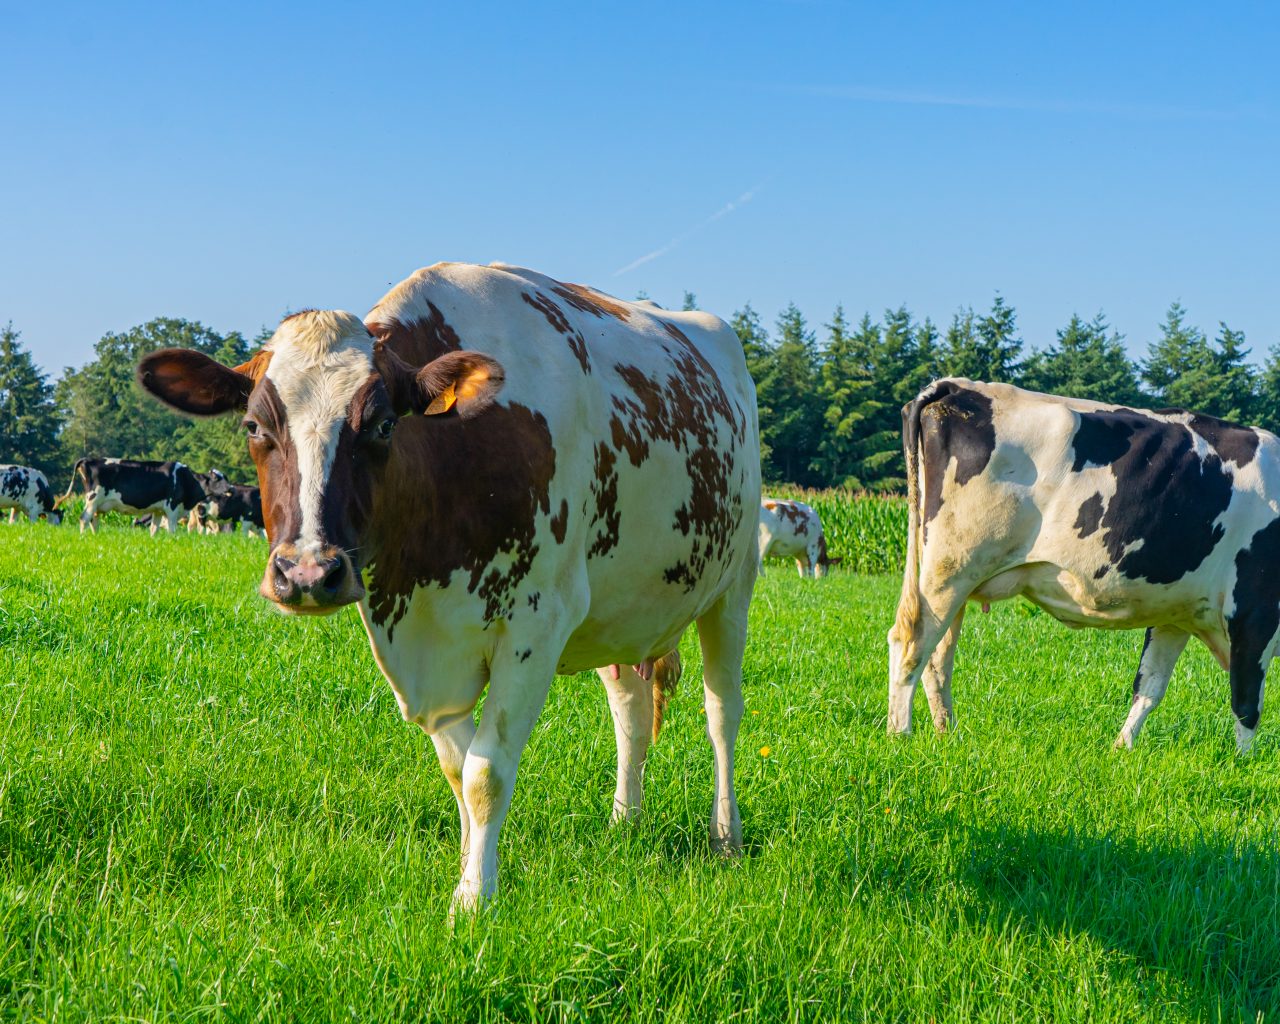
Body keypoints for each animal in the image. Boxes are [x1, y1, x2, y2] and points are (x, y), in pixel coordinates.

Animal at [59, 458, 232, 535]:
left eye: (226, 477)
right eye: (217, 478)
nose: (231, 488)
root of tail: (88, 459)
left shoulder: (158, 510)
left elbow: (154, 529)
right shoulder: (172, 508)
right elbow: (172, 530)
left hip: (98, 504)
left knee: (93, 521)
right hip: (92, 499)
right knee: (84, 518)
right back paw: (83, 537)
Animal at [137, 262, 757, 911]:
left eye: (383, 425)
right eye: (255, 426)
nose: (306, 572)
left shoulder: (537, 625)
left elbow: (486, 774)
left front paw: (474, 898)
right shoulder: (423, 646)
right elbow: (459, 770)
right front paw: (467, 867)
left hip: (733, 587)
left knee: (722, 713)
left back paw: (726, 838)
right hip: (620, 613)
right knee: (631, 715)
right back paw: (624, 823)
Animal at [885, 376, 1280, 752]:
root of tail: (952, 386)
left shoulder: (1175, 613)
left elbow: (1149, 686)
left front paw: (1123, 748)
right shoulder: (1256, 611)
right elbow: (1247, 702)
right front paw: (1244, 763)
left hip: (952, 578)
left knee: (938, 658)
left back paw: (947, 734)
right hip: (951, 570)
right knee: (910, 643)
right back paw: (900, 735)